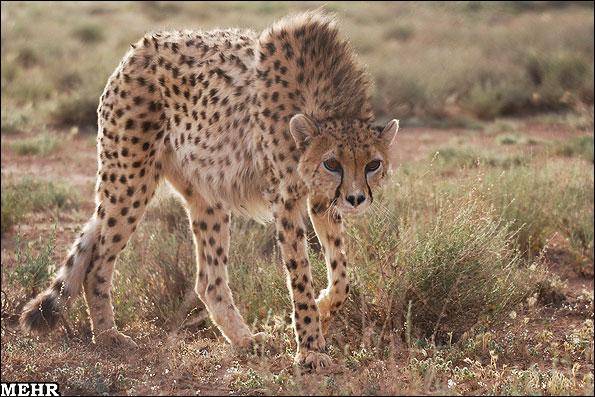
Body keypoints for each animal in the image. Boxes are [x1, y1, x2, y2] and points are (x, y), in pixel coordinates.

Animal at [21, 10, 400, 368]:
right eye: (332, 163)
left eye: (373, 164)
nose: (356, 198)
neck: (327, 99)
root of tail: (139, 47)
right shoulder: (286, 198)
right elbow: (300, 276)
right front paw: (310, 349)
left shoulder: (321, 200)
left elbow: (342, 272)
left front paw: (323, 309)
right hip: (129, 179)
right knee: (99, 261)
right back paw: (108, 335)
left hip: (206, 192)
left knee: (208, 280)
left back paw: (245, 340)